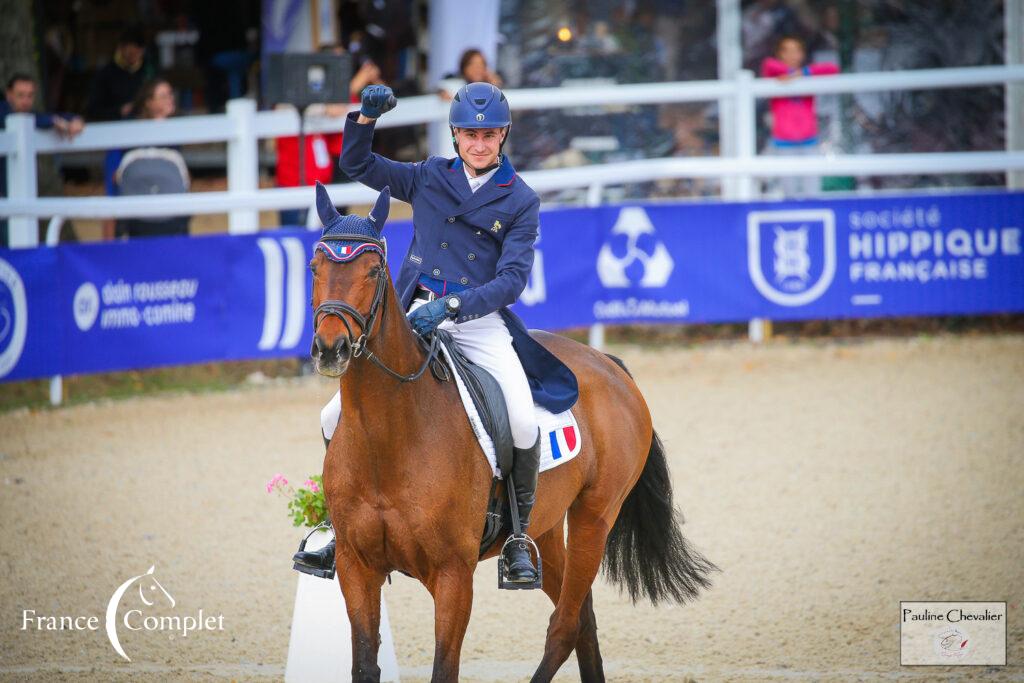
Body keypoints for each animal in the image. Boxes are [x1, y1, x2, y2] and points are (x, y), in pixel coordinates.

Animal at [307, 200, 716, 679]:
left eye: (373, 271)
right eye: (314, 267)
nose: (330, 348)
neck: (389, 436)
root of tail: (608, 364)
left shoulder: (453, 575)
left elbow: (444, 668)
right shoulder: (357, 567)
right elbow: (364, 664)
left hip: (593, 518)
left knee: (565, 624)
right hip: (547, 526)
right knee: (582, 620)